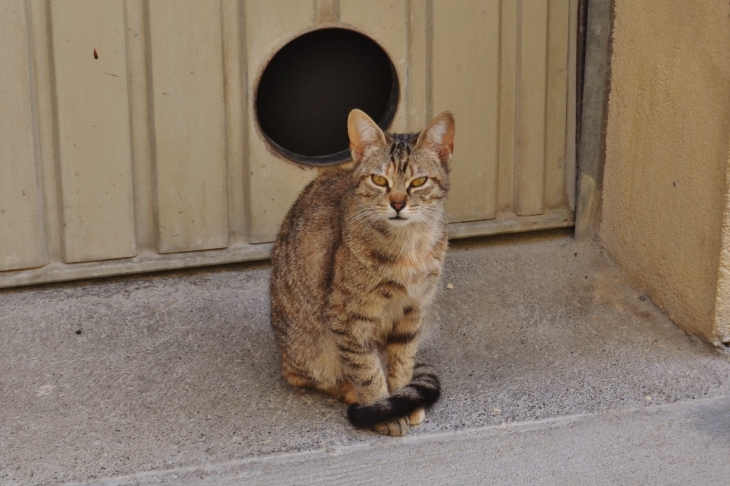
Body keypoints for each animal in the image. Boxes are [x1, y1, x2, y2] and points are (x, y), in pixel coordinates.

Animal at [270, 109, 452, 436]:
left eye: (419, 181)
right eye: (379, 179)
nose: (397, 203)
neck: (409, 246)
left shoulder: (414, 308)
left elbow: (403, 360)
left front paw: (401, 397)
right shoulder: (348, 316)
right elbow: (366, 369)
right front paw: (383, 410)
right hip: (310, 346)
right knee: (304, 375)